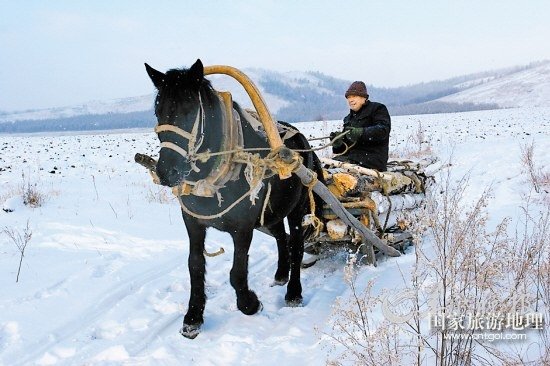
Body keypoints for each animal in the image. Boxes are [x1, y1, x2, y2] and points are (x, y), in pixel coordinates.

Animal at [146, 59, 324, 338]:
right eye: (158, 111)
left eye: (190, 110)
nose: (166, 172)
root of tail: (301, 140)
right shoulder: (193, 223)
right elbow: (195, 266)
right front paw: (193, 317)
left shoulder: (243, 226)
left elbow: (237, 272)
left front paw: (250, 304)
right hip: (271, 212)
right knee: (281, 238)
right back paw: (280, 274)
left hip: (297, 208)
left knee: (295, 244)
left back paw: (293, 292)